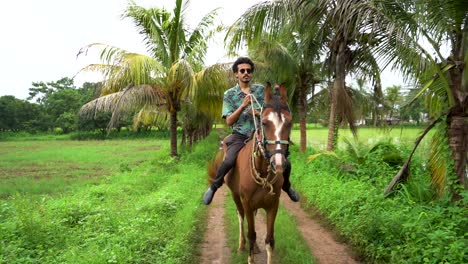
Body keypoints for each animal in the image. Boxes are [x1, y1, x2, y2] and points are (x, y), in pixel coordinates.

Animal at [207, 82, 290, 264]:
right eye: (264, 122)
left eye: (289, 122)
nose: (279, 163)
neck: (263, 172)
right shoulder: (247, 202)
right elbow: (252, 234)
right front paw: (249, 254)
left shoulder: (273, 205)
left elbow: (269, 240)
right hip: (235, 195)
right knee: (241, 216)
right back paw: (241, 245)